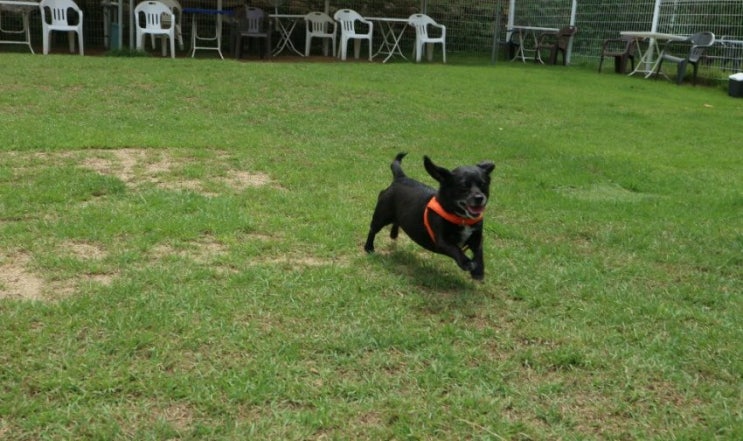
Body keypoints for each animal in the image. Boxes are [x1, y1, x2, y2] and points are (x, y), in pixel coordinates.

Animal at [364, 153, 494, 280]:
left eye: (484, 185)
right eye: (463, 187)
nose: (479, 198)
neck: (462, 218)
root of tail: (401, 178)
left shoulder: (477, 238)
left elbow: (479, 252)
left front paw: (478, 271)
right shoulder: (442, 241)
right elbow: (455, 249)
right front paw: (467, 262)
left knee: (397, 222)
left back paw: (393, 234)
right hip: (381, 217)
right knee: (372, 230)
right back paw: (369, 248)